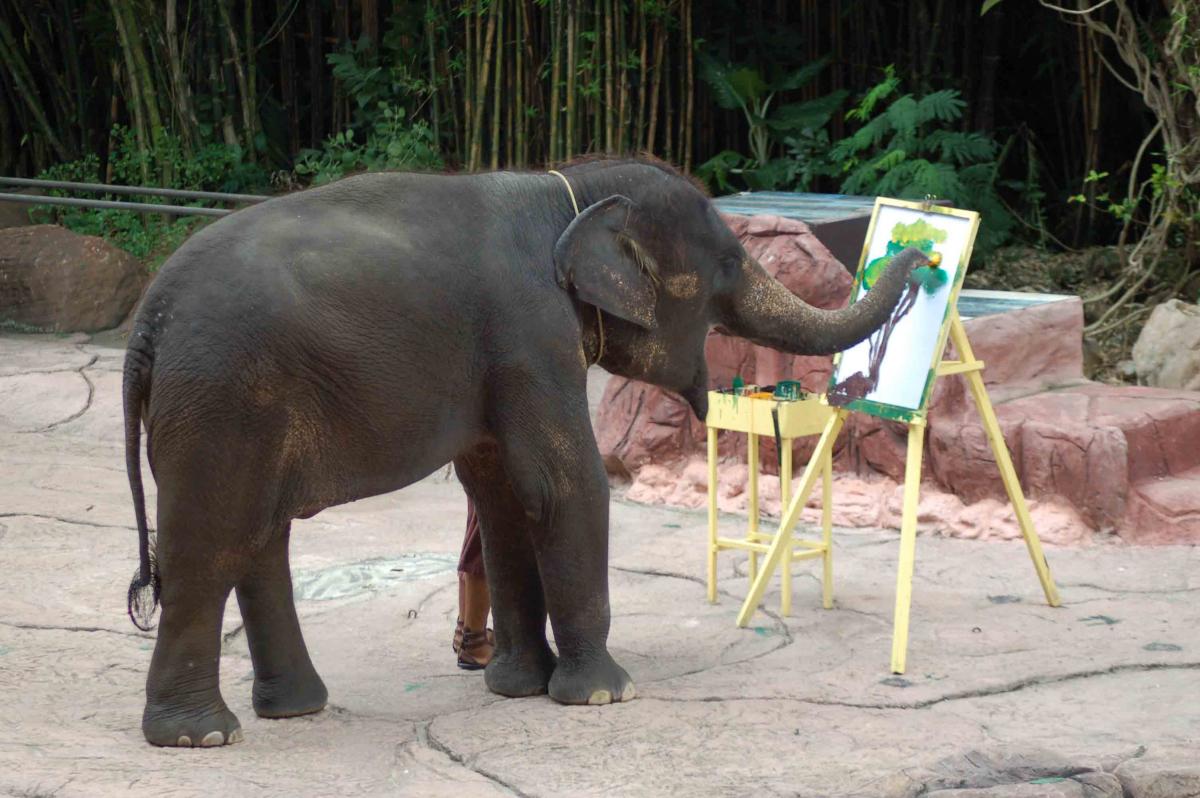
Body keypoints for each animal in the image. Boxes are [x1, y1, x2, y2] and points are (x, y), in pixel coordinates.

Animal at [121, 156, 926, 747]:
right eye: (728, 262)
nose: (921, 256)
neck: (567, 190)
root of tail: (148, 318)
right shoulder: (531, 334)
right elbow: (565, 486)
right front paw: (603, 695)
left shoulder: (500, 361)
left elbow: (504, 499)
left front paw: (515, 688)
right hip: (222, 399)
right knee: (211, 545)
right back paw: (200, 737)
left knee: (259, 538)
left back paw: (294, 710)